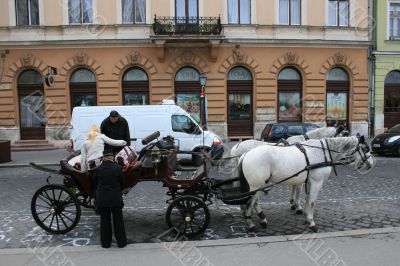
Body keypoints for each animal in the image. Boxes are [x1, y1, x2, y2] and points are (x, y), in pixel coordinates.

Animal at [239, 137, 374, 231]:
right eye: (365, 149)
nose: (371, 164)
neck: (322, 152)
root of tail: (245, 155)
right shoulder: (317, 182)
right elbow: (312, 202)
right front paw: (311, 222)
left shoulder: (309, 182)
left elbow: (308, 199)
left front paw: (306, 216)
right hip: (255, 185)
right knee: (250, 202)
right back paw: (250, 223)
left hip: (258, 184)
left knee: (253, 201)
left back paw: (260, 219)